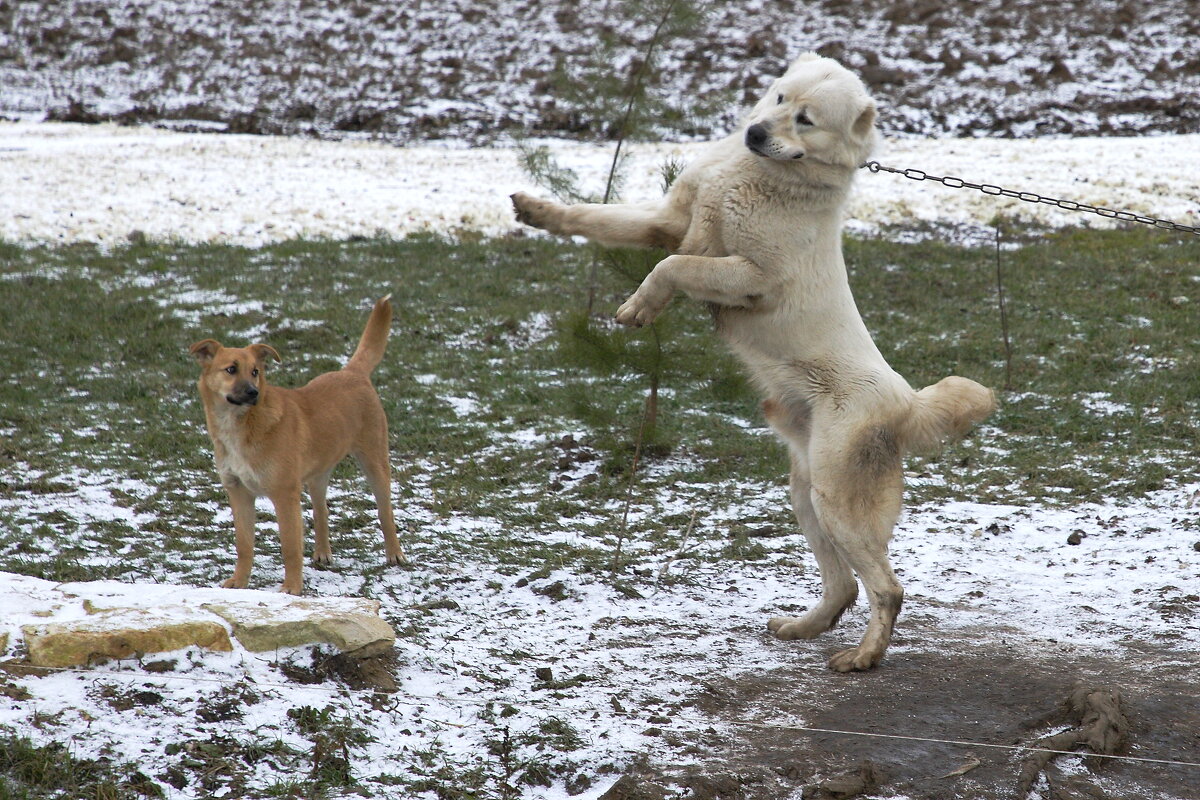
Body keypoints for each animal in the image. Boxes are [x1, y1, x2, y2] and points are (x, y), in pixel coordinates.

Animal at [189, 296, 405, 594]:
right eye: (231, 369)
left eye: (255, 372)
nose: (253, 393)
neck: (242, 426)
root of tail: (352, 373)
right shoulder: (239, 492)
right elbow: (244, 545)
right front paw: (239, 581)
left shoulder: (285, 495)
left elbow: (290, 547)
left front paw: (292, 587)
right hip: (318, 472)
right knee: (321, 510)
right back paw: (323, 553)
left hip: (374, 461)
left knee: (385, 512)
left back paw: (394, 553)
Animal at [513, 53, 993, 671]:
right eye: (780, 97)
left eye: (806, 119)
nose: (756, 133)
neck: (762, 174)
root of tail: (907, 401)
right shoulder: (669, 219)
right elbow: (597, 219)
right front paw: (537, 211)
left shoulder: (750, 277)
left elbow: (672, 265)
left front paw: (642, 306)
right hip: (806, 495)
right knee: (845, 586)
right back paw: (804, 627)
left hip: (836, 501)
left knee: (886, 589)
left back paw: (863, 657)